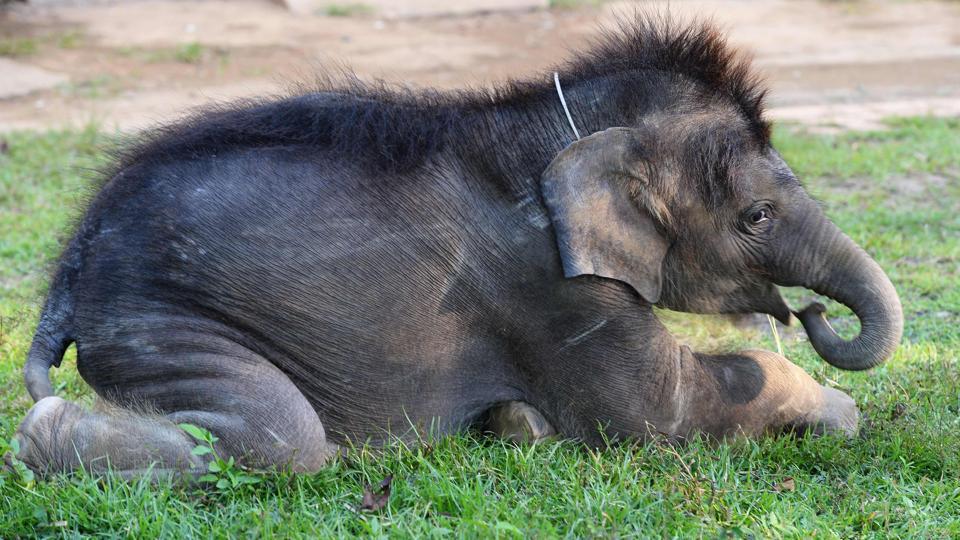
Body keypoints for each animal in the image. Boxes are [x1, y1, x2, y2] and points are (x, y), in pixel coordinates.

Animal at [11, 16, 904, 474]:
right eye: (757, 216)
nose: (810, 313)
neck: (545, 119)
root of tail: (73, 256)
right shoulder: (549, 285)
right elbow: (663, 409)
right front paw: (838, 414)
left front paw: (517, 422)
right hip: (160, 318)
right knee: (276, 438)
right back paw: (39, 439)